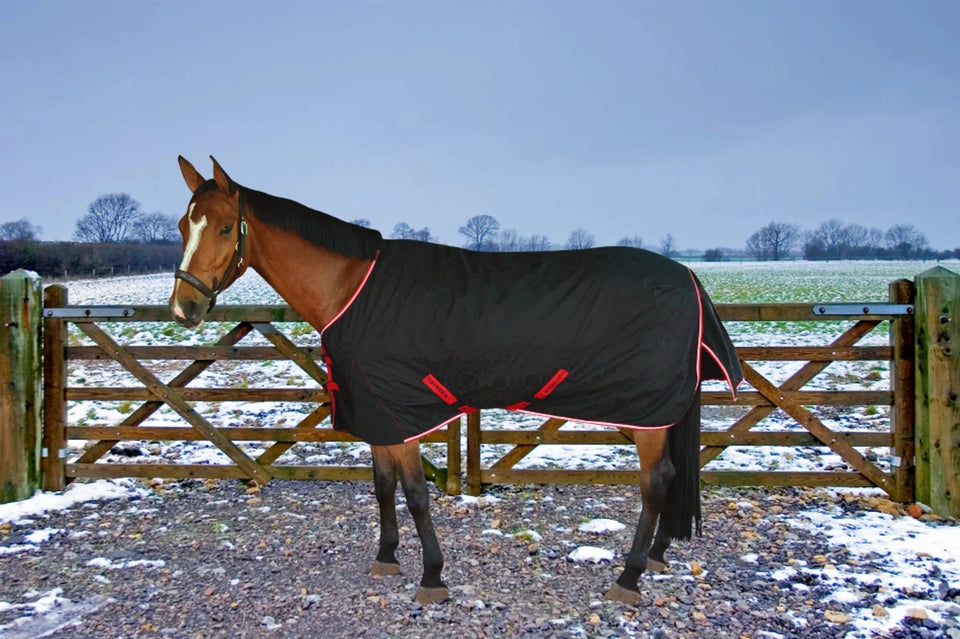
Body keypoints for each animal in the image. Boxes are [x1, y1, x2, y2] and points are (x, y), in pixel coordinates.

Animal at [168, 156, 743, 605]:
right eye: (180, 226)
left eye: (225, 229)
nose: (184, 308)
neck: (352, 288)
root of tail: (689, 277)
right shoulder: (376, 411)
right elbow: (383, 486)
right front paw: (387, 557)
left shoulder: (401, 413)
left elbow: (416, 494)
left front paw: (432, 577)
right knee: (673, 477)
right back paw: (659, 556)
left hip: (646, 414)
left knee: (657, 481)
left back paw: (629, 577)